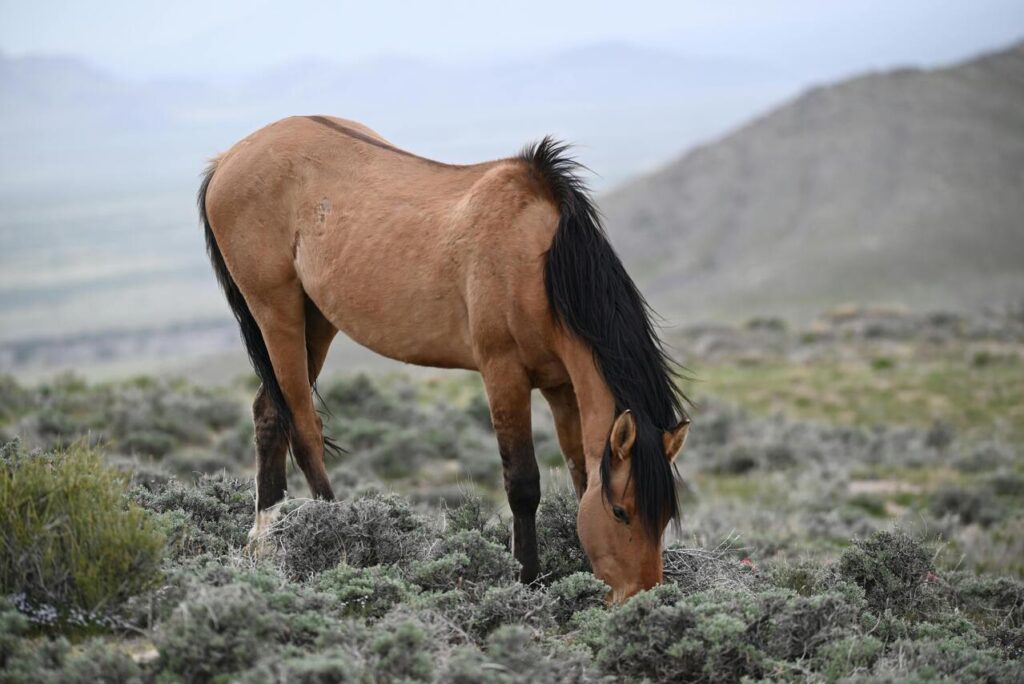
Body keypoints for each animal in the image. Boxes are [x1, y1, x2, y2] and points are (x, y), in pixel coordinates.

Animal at [199, 116, 691, 602]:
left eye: (666, 514)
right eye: (621, 511)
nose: (644, 595)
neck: (539, 261)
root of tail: (228, 159)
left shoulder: (561, 386)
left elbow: (580, 476)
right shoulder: (503, 374)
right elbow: (523, 483)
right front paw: (527, 579)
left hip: (316, 320)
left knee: (269, 412)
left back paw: (265, 541)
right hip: (275, 312)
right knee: (303, 428)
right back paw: (332, 533)